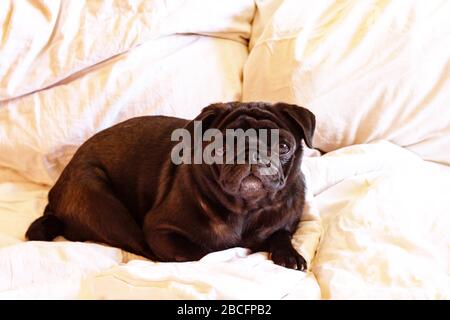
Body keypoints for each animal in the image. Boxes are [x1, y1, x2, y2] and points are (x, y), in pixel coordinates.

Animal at [25, 102, 312, 270]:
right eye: (220, 148)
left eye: (283, 146)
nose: (252, 153)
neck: (246, 209)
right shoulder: (160, 229)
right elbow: (201, 252)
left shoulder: (285, 223)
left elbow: (280, 234)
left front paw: (289, 255)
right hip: (99, 199)